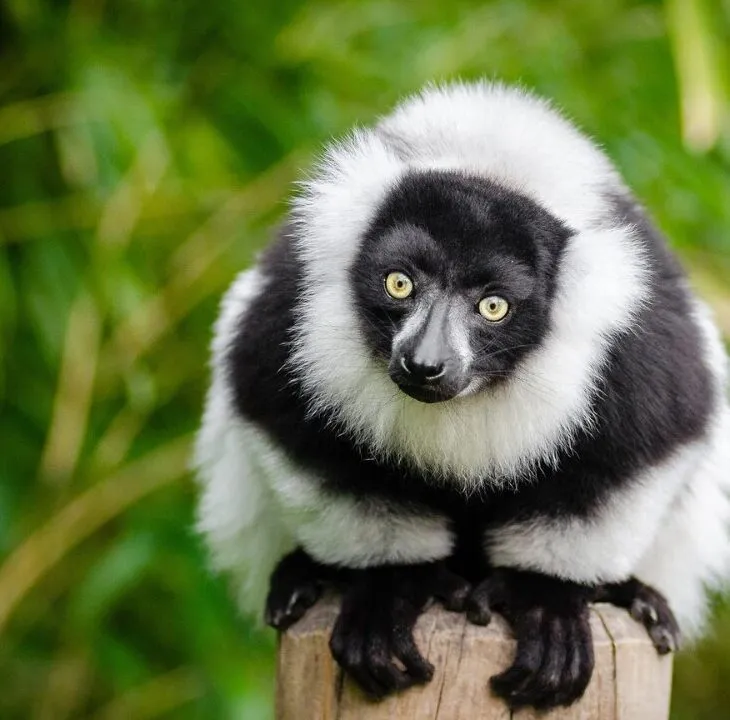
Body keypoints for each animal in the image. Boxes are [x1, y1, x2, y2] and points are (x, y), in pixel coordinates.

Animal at [194, 81, 730, 710]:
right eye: (399, 282)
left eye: (493, 306)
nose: (425, 364)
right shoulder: (290, 297)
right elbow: (288, 419)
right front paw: (391, 587)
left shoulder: (643, 346)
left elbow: (643, 446)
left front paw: (542, 597)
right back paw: (304, 577)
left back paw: (634, 596)